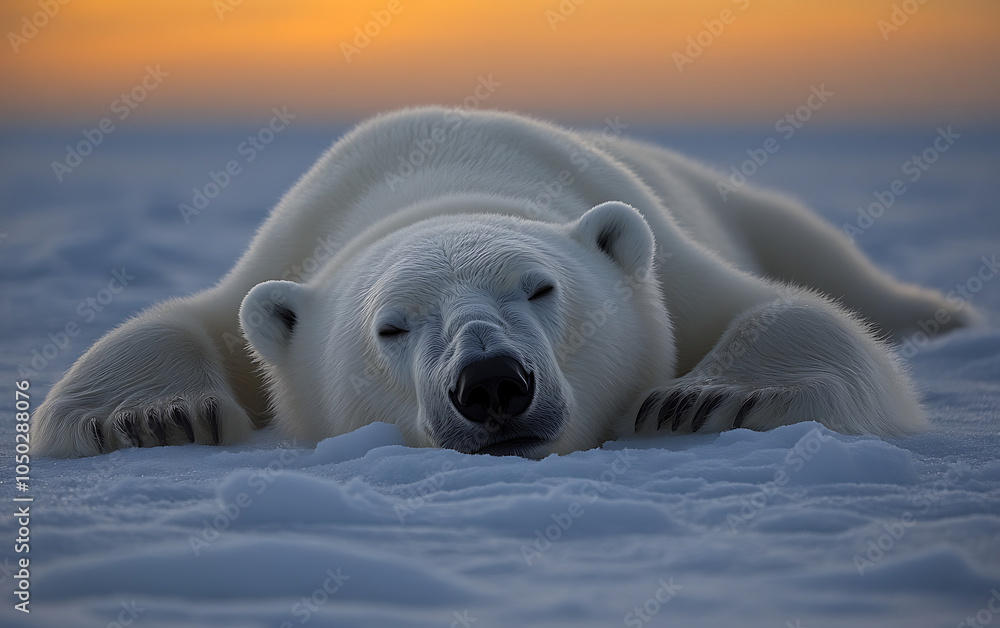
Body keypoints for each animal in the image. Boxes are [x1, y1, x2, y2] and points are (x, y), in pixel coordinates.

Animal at [32, 106, 975, 458]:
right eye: (391, 326)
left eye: (541, 288)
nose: (491, 381)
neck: (442, 175)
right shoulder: (285, 248)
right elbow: (185, 319)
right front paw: (148, 417)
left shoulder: (669, 256)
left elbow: (788, 312)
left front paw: (706, 400)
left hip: (735, 203)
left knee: (832, 264)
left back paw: (942, 316)